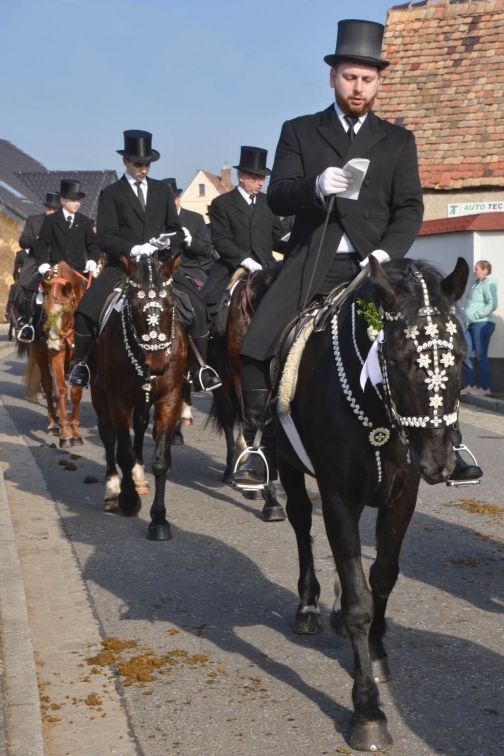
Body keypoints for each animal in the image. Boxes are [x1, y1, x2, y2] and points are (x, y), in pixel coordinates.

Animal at [23, 262, 90, 448]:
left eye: (66, 312)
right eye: (45, 311)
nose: (52, 344)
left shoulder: (81, 357)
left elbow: (75, 391)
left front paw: (75, 432)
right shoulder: (56, 355)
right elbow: (60, 389)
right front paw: (66, 434)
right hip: (40, 352)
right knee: (47, 383)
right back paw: (53, 423)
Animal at [89, 256, 187, 540]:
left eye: (171, 303)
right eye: (133, 306)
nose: (157, 364)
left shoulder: (170, 398)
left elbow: (161, 460)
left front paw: (159, 521)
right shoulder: (118, 399)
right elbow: (123, 452)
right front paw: (129, 500)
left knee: (141, 426)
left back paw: (138, 477)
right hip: (99, 392)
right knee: (108, 435)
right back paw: (113, 489)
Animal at [276, 255, 468, 752]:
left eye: (460, 357)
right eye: (398, 359)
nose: (438, 462)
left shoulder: (402, 495)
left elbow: (381, 576)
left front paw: (377, 654)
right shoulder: (338, 498)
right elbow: (361, 600)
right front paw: (367, 712)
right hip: (288, 464)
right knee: (301, 522)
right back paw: (309, 605)